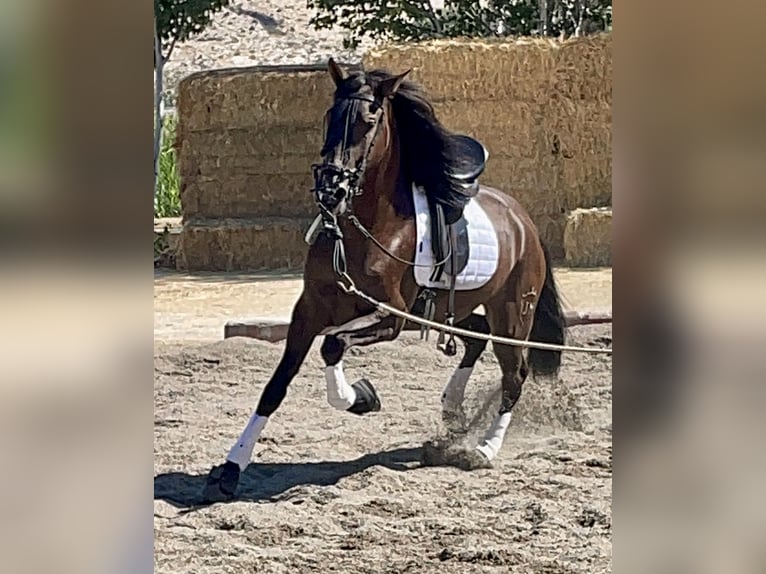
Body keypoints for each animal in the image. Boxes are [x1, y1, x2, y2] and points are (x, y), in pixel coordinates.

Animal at [203, 59, 565, 501]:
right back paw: (452, 410)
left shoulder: (391, 317)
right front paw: (230, 468)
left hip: (512, 314)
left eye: (369, 120)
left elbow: (332, 345)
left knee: (515, 374)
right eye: (330, 116)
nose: (331, 188)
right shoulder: (309, 309)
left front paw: (361, 397)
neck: (365, 229)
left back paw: (483, 449)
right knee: (476, 337)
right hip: (455, 309)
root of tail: (523, 219)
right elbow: (277, 385)